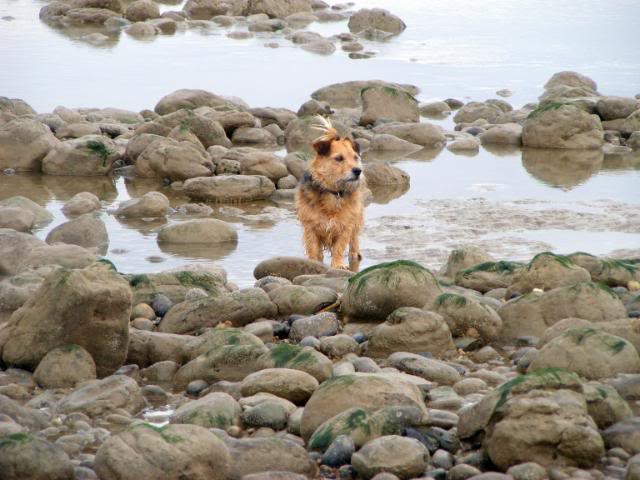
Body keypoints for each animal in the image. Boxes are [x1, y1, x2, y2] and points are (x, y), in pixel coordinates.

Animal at [296, 114, 364, 268]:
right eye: (339, 158)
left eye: (355, 157)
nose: (358, 171)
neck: (333, 192)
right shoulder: (310, 227)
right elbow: (313, 249)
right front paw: (314, 262)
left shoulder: (346, 225)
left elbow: (340, 246)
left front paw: (338, 264)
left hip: (357, 217)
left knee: (355, 238)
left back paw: (354, 255)